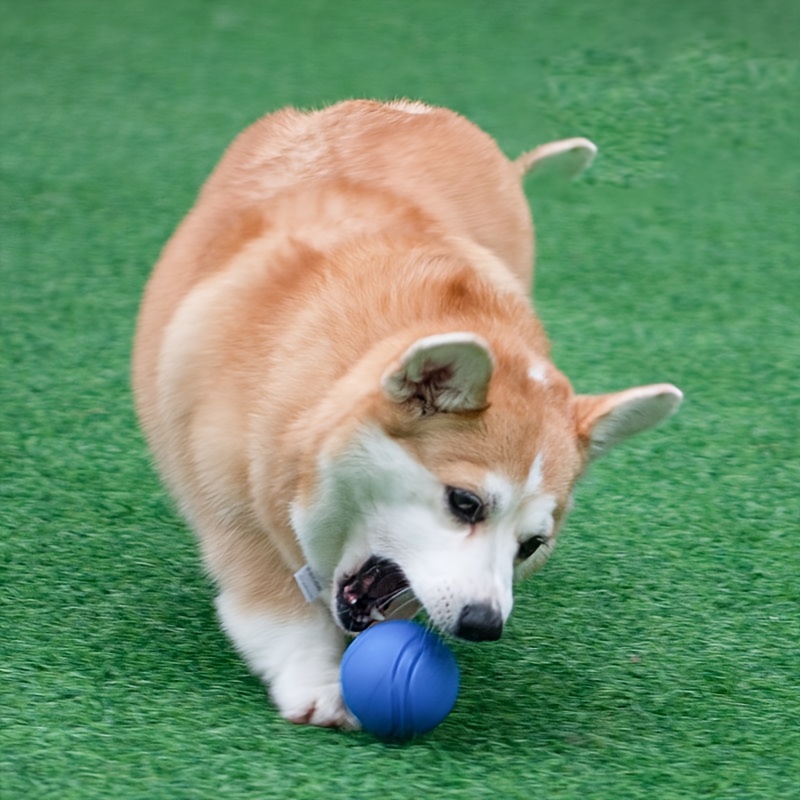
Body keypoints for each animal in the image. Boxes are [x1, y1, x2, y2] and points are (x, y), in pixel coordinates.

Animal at [131, 98, 680, 724]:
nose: (483, 626)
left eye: (532, 545)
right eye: (465, 503)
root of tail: (411, 110)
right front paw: (315, 679)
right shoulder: (233, 503)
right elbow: (272, 598)